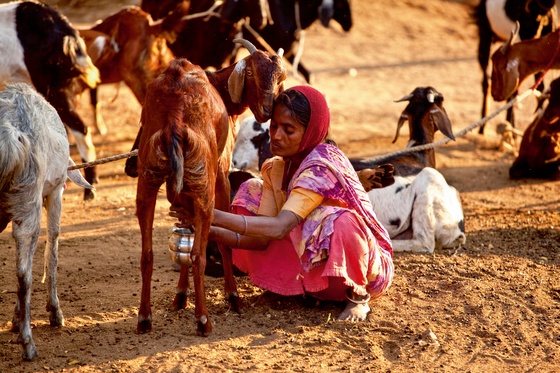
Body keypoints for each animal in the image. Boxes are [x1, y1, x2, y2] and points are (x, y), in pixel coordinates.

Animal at [0, 82, 93, 360]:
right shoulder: (55, 193)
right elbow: (52, 246)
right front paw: (54, 313)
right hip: (30, 197)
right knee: (24, 271)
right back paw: (28, 343)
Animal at [135, 39, 284, 336]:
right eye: (251, 73)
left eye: (278, 79)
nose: (266, 110)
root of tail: (175, 115)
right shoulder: (222, 172)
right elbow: (220, 243)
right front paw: (232, 296)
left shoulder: (183, 190)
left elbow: (186, 228)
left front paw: (180, 295)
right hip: (205, 182)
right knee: (198, 255)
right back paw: (203, 320)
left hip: (148, 178)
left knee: (148, 254)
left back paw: (145, 318)